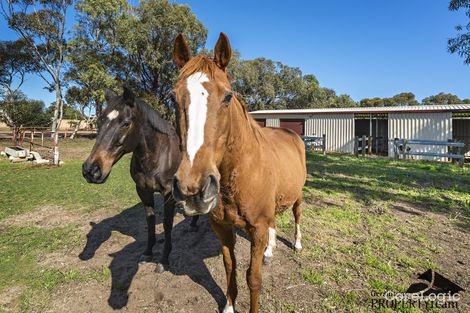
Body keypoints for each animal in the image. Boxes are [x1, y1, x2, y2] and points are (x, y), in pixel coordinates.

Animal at [81, 86, 197, 272]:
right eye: (99, 121)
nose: (91, 170)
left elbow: (167, 223)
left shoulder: (168, 194)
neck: (157, 156)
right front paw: (148, 253)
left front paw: (164, 260)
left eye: (126, 123)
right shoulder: (143, 191)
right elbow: (150, 221)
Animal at [171, 33, 306, 310]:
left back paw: (297, 244)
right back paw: (270, 250)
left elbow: (252, 278)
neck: (241, 172)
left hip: (298, 194)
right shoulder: (222, 228)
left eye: (227, 97)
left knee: (297, 215)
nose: (193, 189)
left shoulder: (257, 229)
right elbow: (229, 268)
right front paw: (229, 305)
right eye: (172, 97)